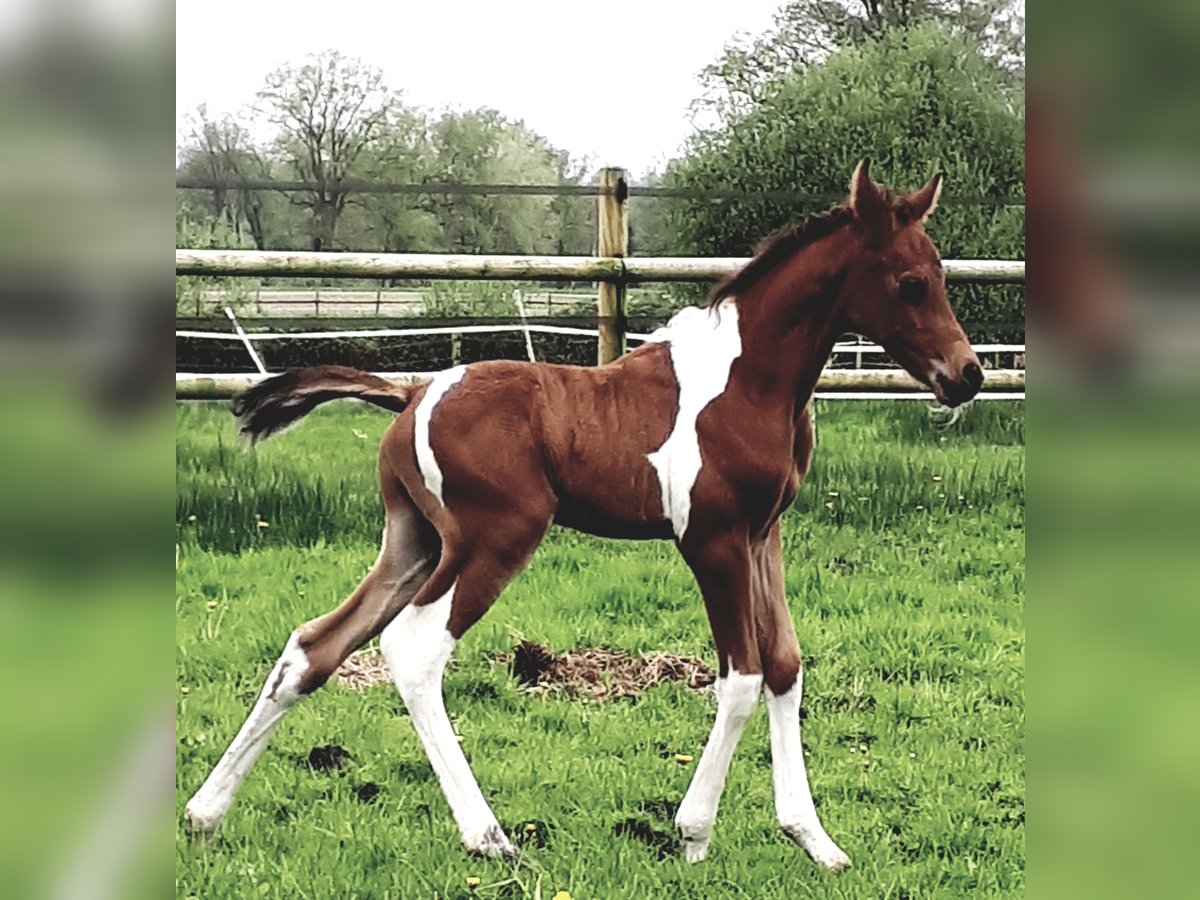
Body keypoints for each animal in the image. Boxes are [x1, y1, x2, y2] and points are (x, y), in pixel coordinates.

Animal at [182, 164, 979, 873]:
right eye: (909, 281)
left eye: (941, 275)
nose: (966, 374)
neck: (747, 382)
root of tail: (411, 393)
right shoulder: (711, 541)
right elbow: (742, 676)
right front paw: (692, 834)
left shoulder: (764, 536)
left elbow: (784, 665)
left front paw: (815, 841)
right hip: (494, 540)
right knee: (413, 649)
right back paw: (489, 838)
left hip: (413, 543)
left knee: (314, 647)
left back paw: (203, 814)